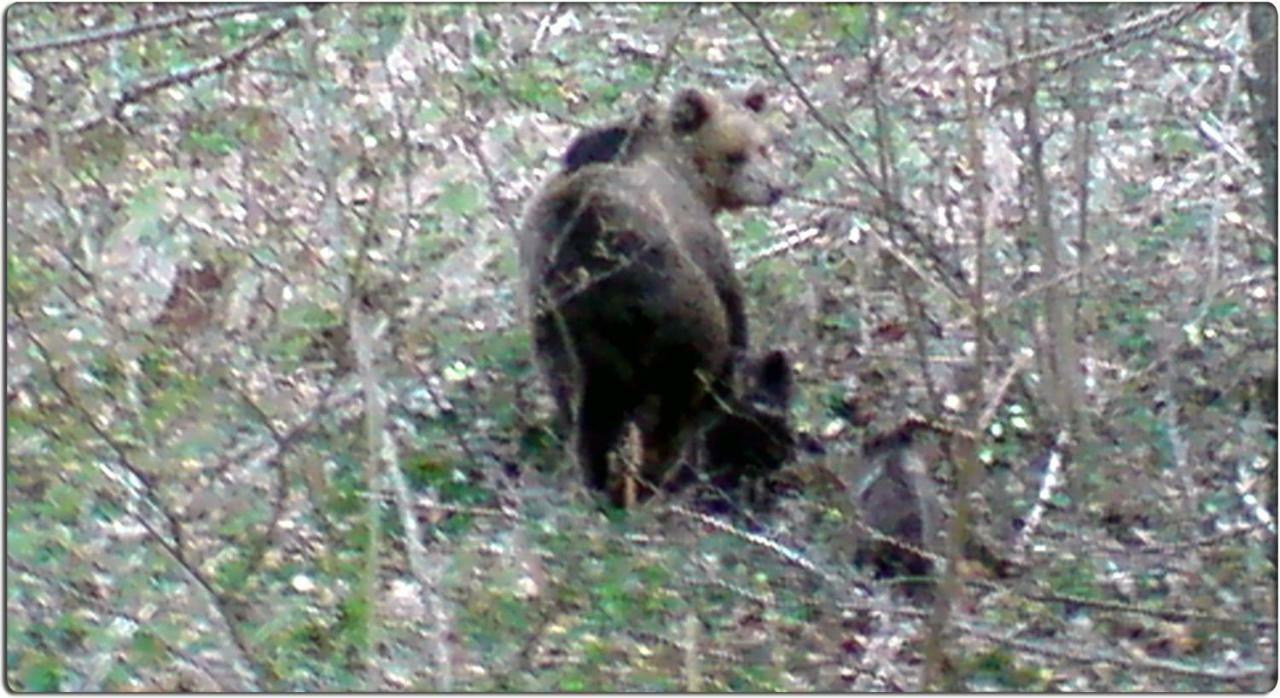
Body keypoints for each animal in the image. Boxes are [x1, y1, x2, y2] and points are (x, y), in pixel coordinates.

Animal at [517, 84, 778, 504]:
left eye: (764, 146)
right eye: (735, 154)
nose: (774, 187)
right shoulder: (699, 240)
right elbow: (734, 316)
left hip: (561, 330)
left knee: (586, 411)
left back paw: (602, 485)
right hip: (670, 301)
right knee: (682, 391)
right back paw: (668, 473)